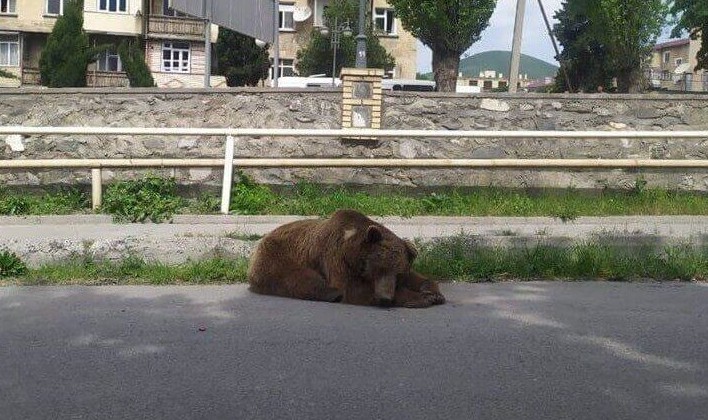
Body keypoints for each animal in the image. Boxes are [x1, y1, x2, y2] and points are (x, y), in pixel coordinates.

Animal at [249, 208, 446, 306]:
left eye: (398, 273)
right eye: (377, 269)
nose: (385, 298)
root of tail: (265, 236)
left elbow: (417, 277)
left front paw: (433, 293)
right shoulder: (336, 257)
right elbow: (351, 288)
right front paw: (421, 298)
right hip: (280, 255)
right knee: (300, 277)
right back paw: (331, 294)